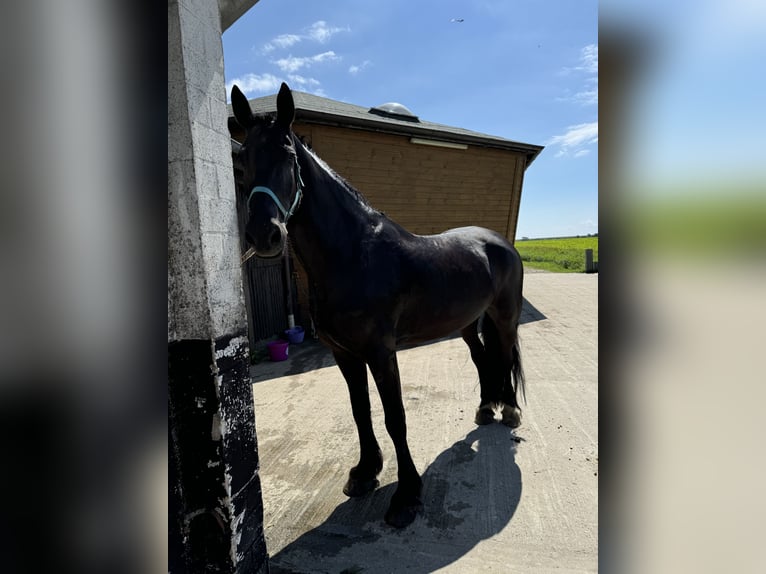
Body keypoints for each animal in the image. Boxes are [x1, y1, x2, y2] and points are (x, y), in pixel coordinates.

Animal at [231, 83, 524, 528]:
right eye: (243, 158)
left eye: (288, 154)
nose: (264, 235)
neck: (354, 254)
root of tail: (498, 242)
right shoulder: (345, 354)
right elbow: (361, 411)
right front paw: (365, 472)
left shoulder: (381, 352)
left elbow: (394, 417)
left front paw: (406, 495)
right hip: (467, 323)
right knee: (481, 358)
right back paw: (485, 407)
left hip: (504, 317)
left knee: (504, 356)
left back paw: (508, 410)